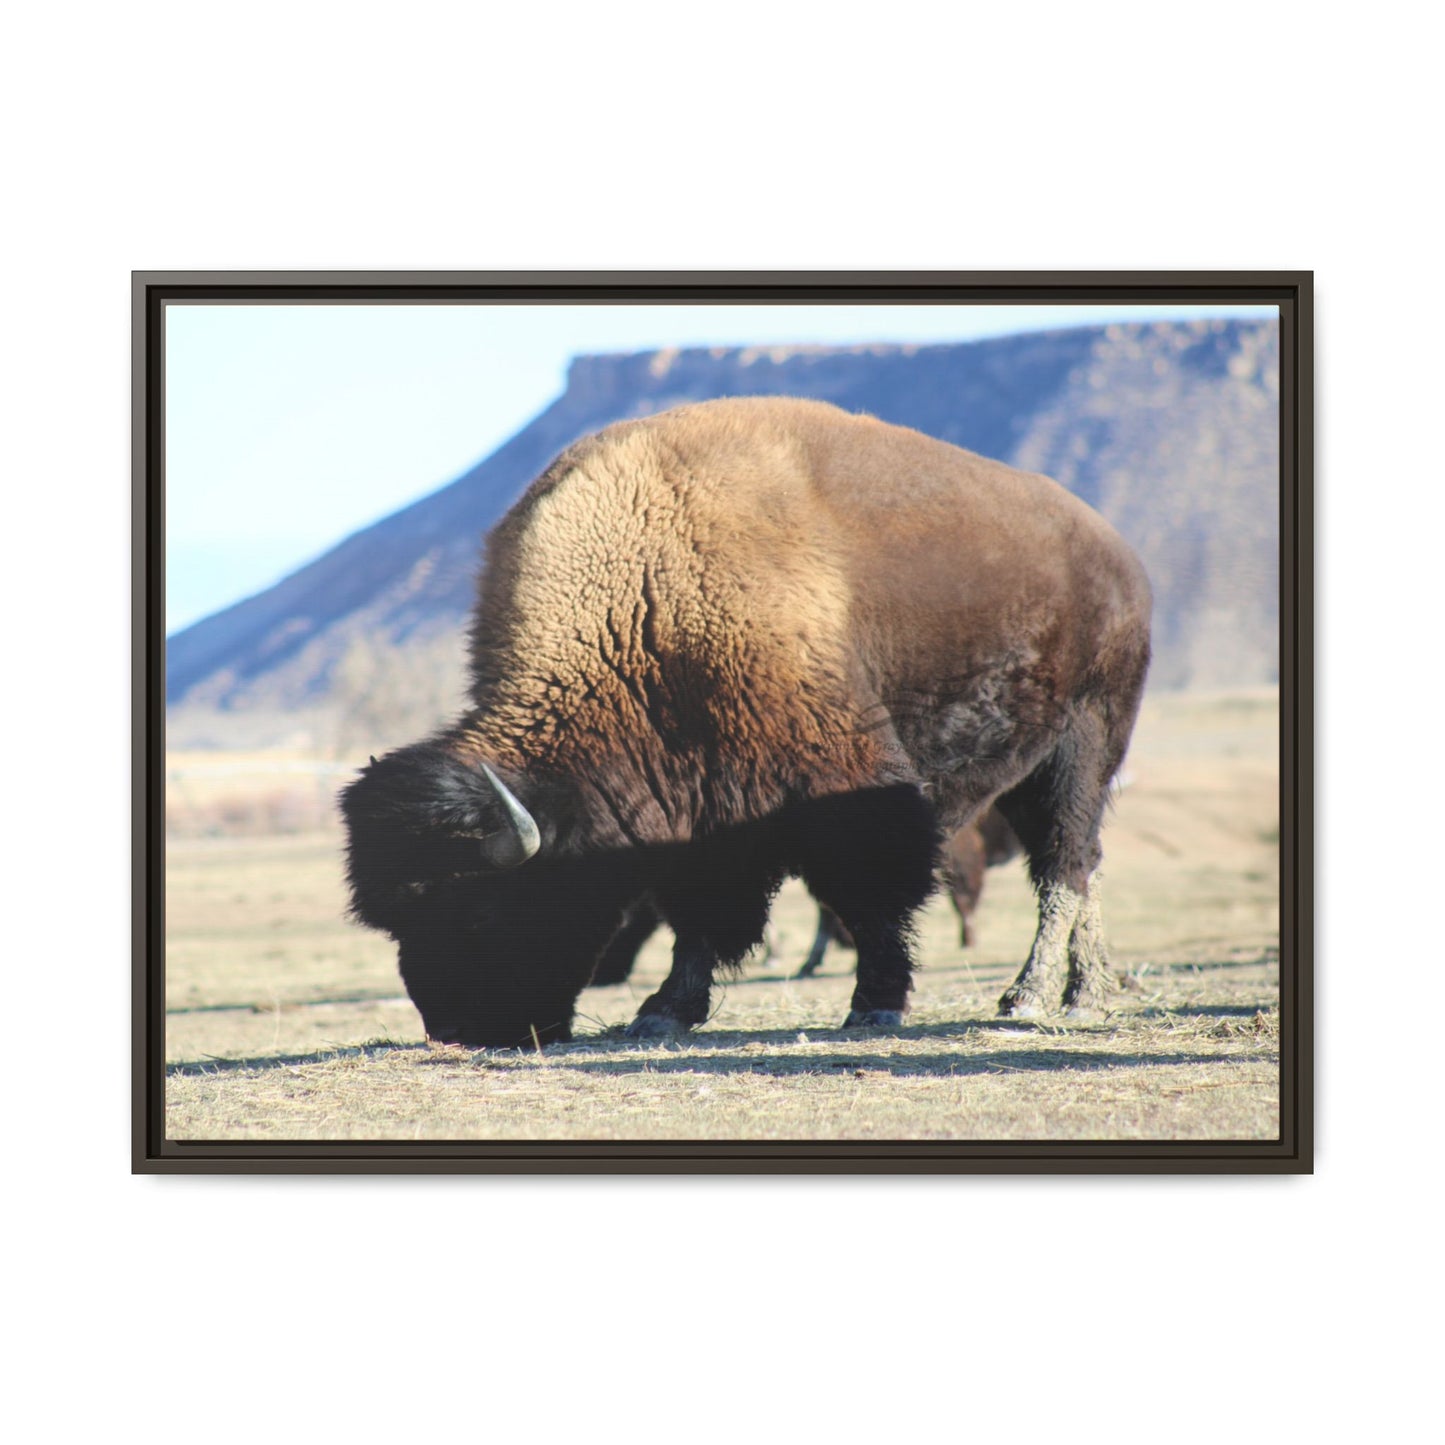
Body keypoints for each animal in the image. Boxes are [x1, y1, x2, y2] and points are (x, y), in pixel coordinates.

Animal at [341, 397, 1151, 1046]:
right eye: (397, 922)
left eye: (478, 910)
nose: (458, 1028)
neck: (644, 601)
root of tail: (1116, 553)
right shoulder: (700, 810)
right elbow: (700, 913)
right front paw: (662, 1011)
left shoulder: (844, 784)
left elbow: (871, 893)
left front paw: (875, 1005)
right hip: (1027, 768)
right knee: (1078, 864)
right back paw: (1086, 989)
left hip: (1085, 743)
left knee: (1064, 862)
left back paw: (1035, 997)